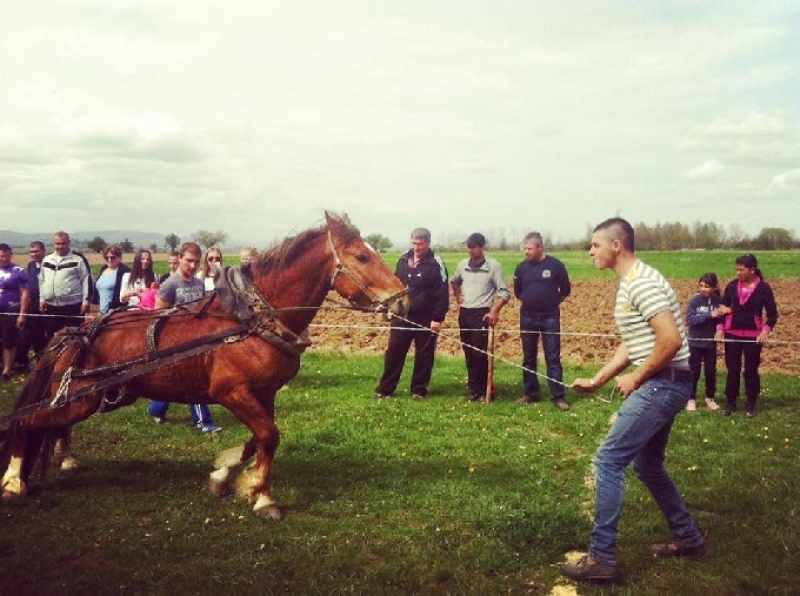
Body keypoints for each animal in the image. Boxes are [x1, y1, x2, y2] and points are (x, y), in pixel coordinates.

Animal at [0, 213, 410, 516]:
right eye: (362, 256)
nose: (403, 300)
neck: (251, 319)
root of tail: (72, 332)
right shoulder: (231, 392)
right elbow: (269, 437)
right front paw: (260, 494)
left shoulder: (264, 393)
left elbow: (260, 438)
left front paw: (225, 475)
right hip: (81, 399)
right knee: (28, 422)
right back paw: (14, 481)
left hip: (100, 398)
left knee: (53, 425)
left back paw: (62, 459)